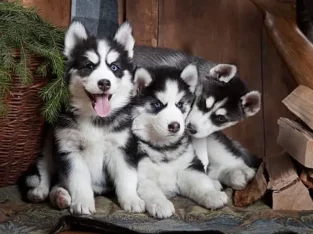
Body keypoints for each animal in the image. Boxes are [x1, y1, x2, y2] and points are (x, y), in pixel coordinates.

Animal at [21, 21, 144, 215]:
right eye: (89, 66)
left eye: (114, 67)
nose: (104, 83)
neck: (95, 119)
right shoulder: (70, 149)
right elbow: (78, 180)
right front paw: (83, 202)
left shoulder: (123, 147)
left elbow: (126, 176)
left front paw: (131, 199)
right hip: (49, 143)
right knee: (45, 171)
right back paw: (43, 192)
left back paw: (60, 195)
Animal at [132, 64, 227, 219]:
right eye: (157, 104)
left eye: (180, 104)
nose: (175, 126)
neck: (165, 148)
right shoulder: (141, 176)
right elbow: (151, 190)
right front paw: (160, 204)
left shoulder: (188, 166)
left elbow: (200, 182)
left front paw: (211, 195)